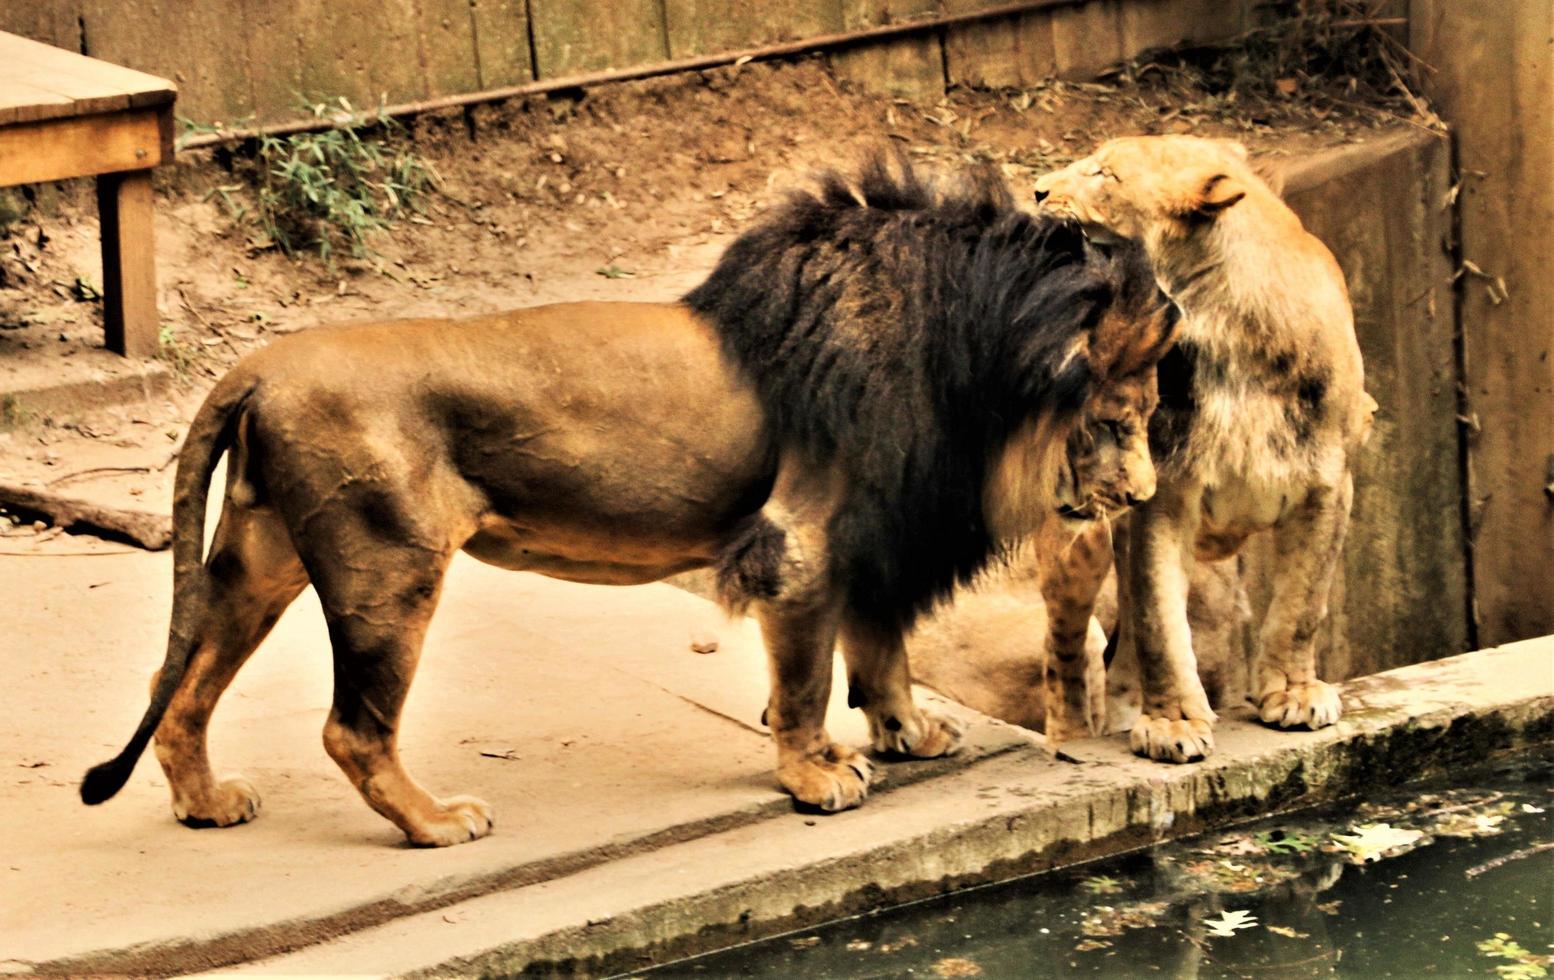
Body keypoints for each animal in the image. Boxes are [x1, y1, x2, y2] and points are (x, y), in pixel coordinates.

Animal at [85, 159, 1174, 844]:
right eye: (1123, 415)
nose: (1141, 493)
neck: (977, 365)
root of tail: (257, 368)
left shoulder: (877, 531)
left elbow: (879, 648)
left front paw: (905, 734)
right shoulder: (803, 543)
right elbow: (806, 679)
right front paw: (818, 776)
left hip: (260, 558)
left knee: (178, 686)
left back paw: (205, 802)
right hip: (386, 568)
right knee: (351, 727)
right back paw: (437, 823)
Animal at [1038, 135, 1379, 767]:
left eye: (1106, 173)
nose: (1037, 189)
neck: (1226, 330)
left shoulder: (1328, 484)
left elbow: (1301, 604)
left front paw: (1293, 693)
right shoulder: (1162, 494)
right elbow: (1158, 622)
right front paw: (1171, 722)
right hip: (1079, 545)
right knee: (1068, 654)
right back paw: (1079, 736)